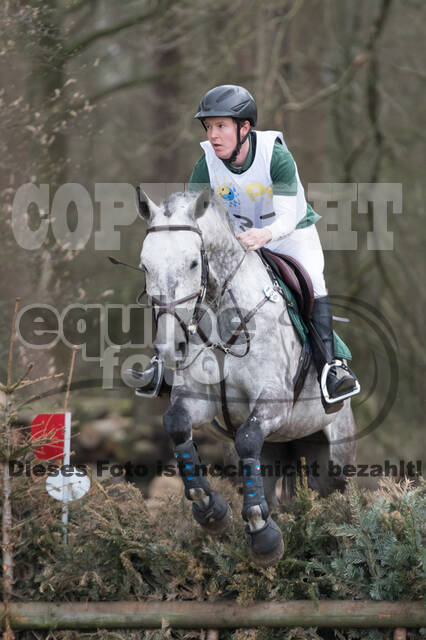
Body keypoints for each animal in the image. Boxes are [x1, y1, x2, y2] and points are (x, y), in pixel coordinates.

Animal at [136, 189, 356, 564]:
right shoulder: (198, 400)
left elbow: (249, 436)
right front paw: (212, 511)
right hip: (276, 451)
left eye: (193, 263)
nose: (170, 347)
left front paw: (262, 535)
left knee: (334, 495)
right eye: (145, 266)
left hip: (335, 458)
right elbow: (178, 424)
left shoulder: (273, 402)